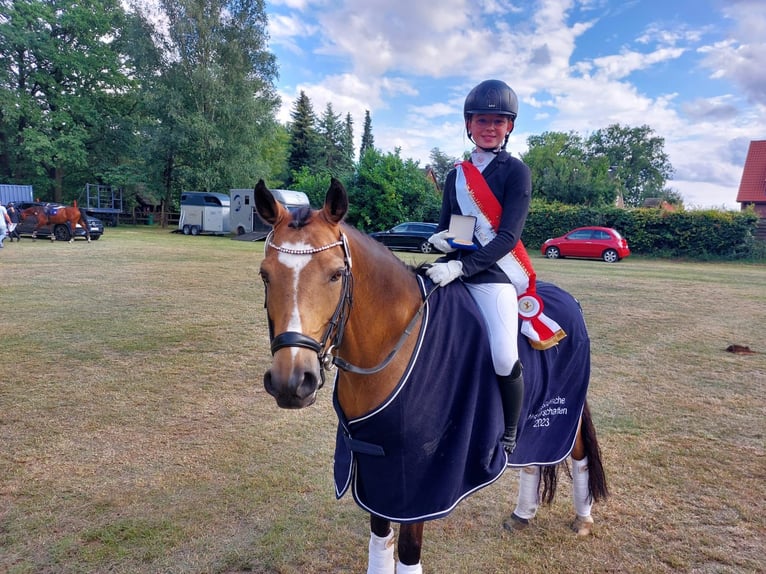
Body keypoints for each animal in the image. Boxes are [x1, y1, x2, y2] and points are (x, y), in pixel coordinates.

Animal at [255, 178, 608, 572]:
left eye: (336, 274)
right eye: (265, 274)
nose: (291, 382)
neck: (394, 346)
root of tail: (567, 301)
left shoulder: (418, 483)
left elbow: (408, 551)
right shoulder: (376, 464)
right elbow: (381, 537)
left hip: (563, 415)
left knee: (577, 454)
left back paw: (583, 519)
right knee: (533, 460)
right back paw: (523, 514)